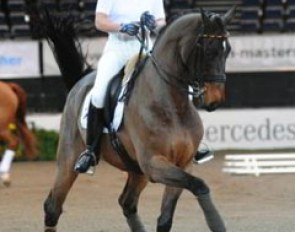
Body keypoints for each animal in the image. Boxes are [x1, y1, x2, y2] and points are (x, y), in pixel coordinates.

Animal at [41, 7, 236, 232]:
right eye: (209, 51)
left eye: (227, 51)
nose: (215, 100)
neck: (171, 104)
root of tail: (80, 82)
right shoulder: (153, 164)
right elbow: (198, 184)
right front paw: (217, 223)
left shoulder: (183, 163)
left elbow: (166, 218)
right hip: (68, 160)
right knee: (53, 205)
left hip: (136, 171)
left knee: (127, 202)